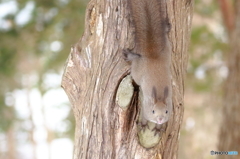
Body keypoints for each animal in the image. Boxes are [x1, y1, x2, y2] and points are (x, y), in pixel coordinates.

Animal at [124, 0, 172, 134]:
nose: (160, 119)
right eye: (153, 111)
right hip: (137, 72)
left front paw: (159, 129)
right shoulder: (145, 109)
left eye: (166, 111)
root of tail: (152, 56)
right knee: (135, 59)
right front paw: (144, 125)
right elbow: (144, 117)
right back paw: (130, 56)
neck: (159, 95)